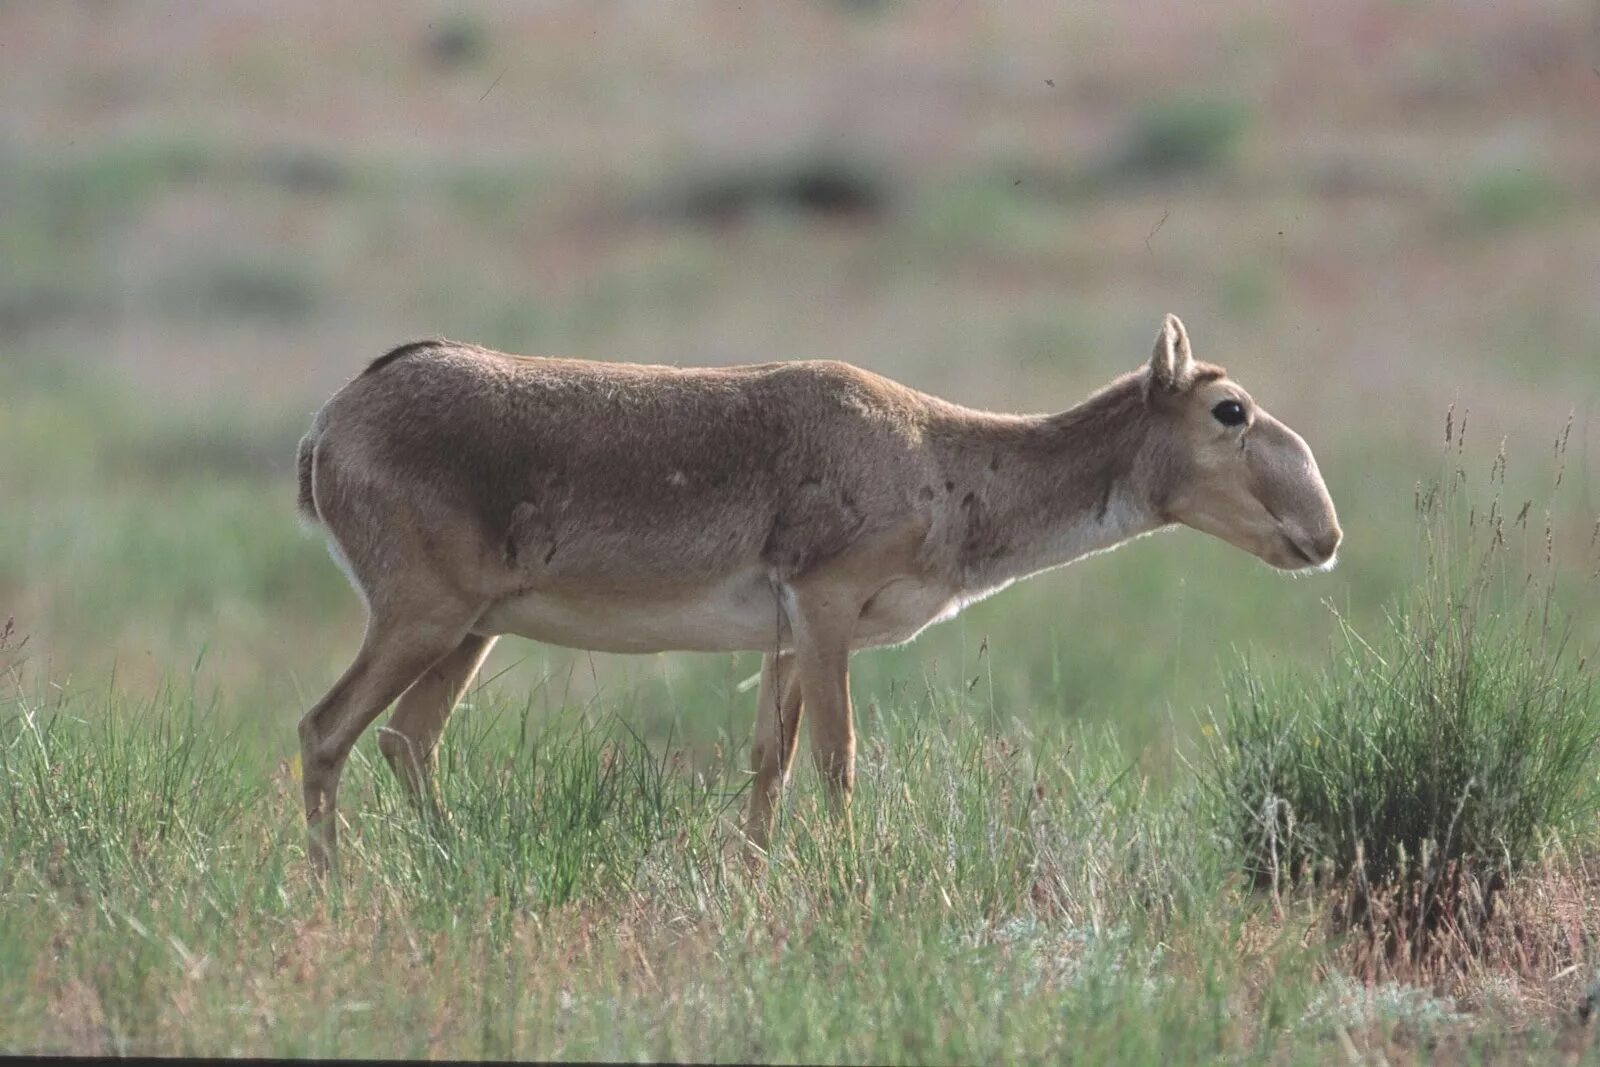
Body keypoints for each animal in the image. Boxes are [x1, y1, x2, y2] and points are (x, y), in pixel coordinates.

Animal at [297, 313, 1337, 870]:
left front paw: (753, 881)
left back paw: (450, 860)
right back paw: (333, 887)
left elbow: (770, 760)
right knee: (326, 727)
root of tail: (331, 420)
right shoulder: (828, 614)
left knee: (406, 739)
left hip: (473, 629)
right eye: (1230, 409)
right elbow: (839, 761)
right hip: (421, 616)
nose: (1322, 533)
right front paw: (846, 886)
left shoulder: (784, 639)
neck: (940, 459)